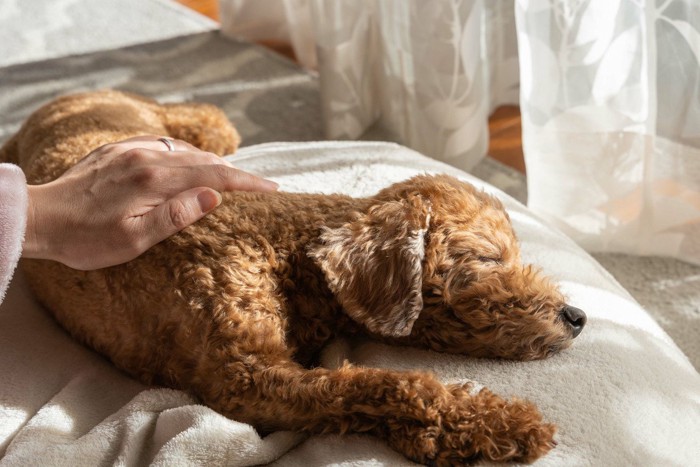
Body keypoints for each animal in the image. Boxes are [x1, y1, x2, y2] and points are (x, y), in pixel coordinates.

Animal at [2, 90, 588, 464]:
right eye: (489, 260)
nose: (578, 316)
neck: (285, 250)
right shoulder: (245, 378)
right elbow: (381, 383)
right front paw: (503, 424)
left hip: (204, 131)